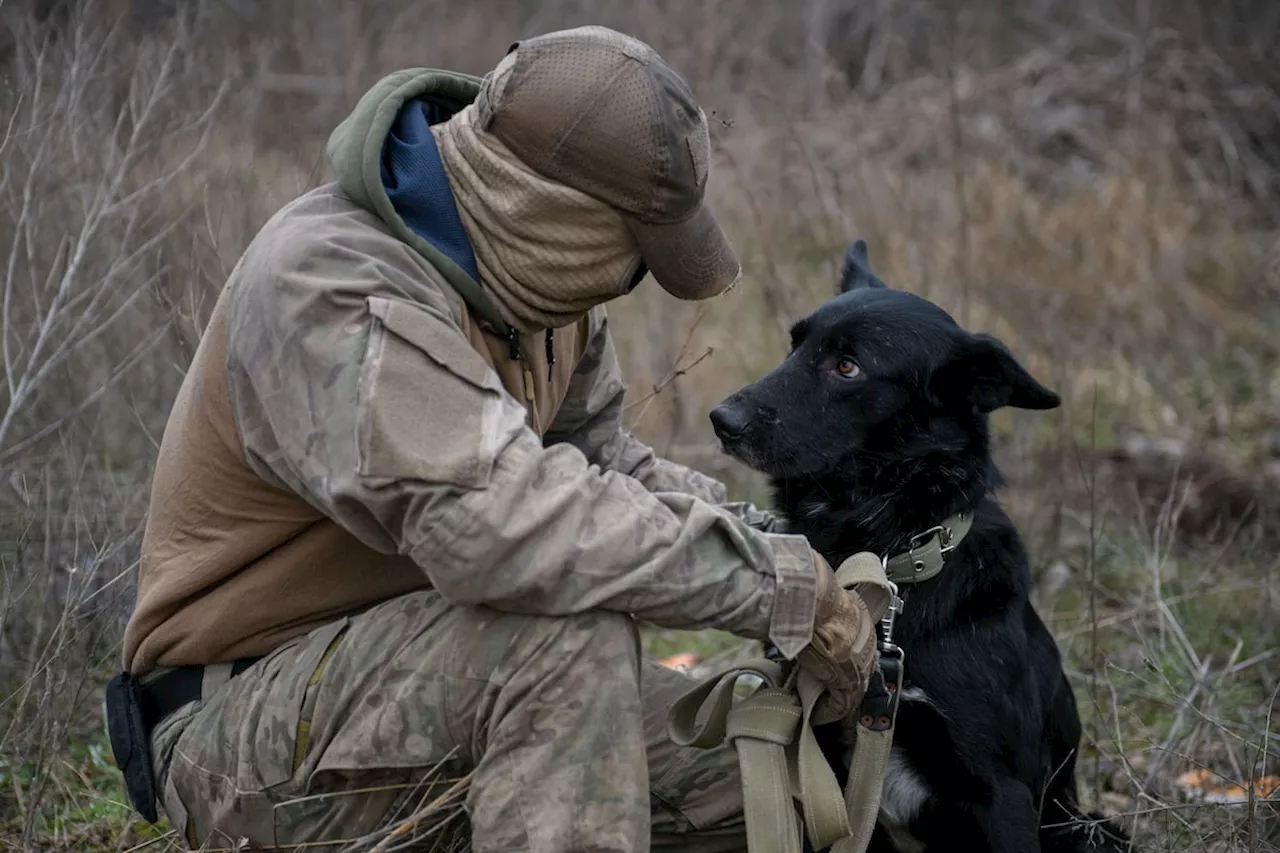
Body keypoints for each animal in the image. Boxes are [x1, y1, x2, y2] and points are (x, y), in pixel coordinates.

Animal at [711, 239, 1131, 850]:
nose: (722, 419)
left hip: (1089, 827)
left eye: (848, 366)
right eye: (795, 345)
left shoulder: (1001, 791)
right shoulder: (817, 761)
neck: (886, 559)